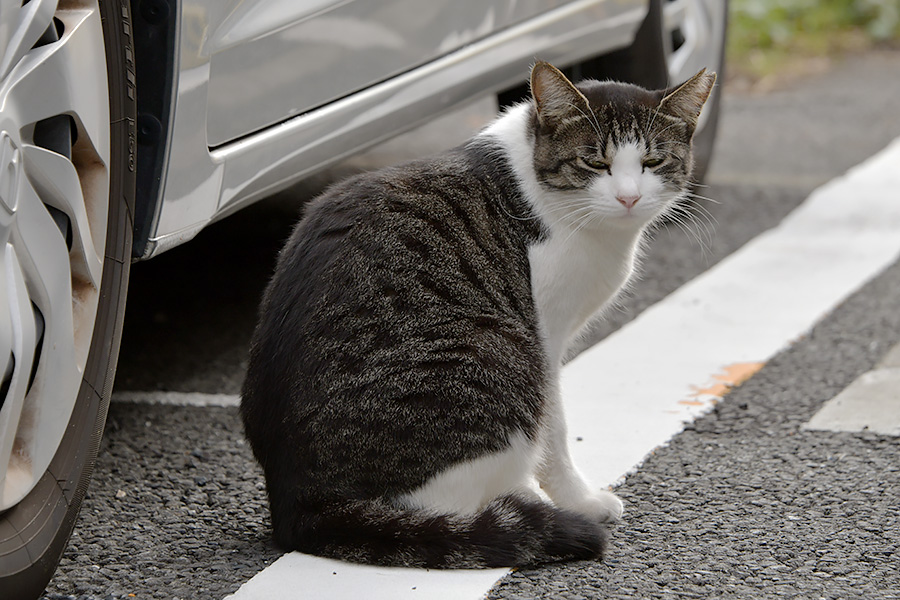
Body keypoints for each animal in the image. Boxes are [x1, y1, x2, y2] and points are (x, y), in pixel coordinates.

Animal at [241, 62, 716, 572]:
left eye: (653, 162)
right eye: (595, 163)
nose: (629, 198)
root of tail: (296, 503)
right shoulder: (544, 336)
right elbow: (556, 430)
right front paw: (580, 500)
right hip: (499, 352)